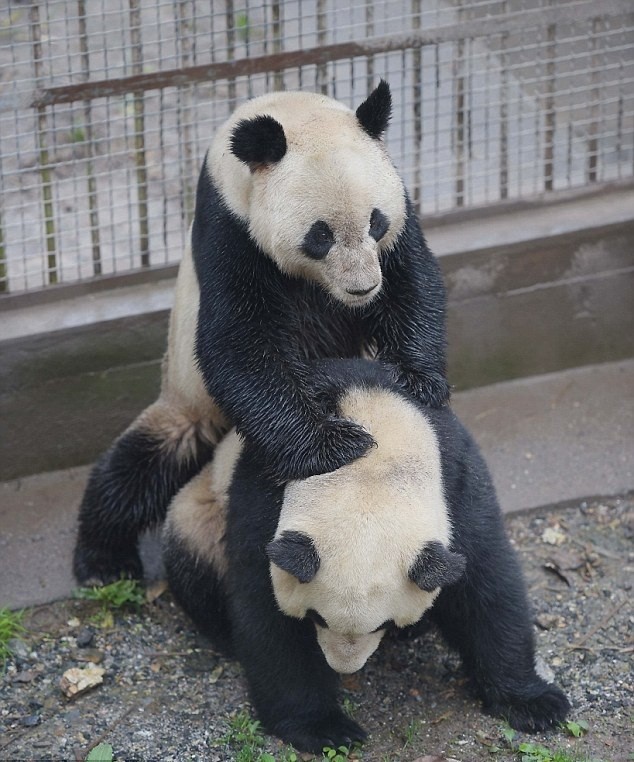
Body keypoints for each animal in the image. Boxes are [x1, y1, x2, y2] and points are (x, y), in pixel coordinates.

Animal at [75, 81, 450, 580]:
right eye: (320, 235)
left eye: (375, 221)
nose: (362, 287)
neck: (288, 109)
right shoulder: (229, 232)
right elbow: (237, 344)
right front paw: (336, 445)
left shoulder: (399, 214)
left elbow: (413, 284)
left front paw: (416, 381)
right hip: (190, 404)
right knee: (137, 468)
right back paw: (103, 561)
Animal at [162, 360, 568, 752]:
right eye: (315, 617)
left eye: (383, 624)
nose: (344, 667)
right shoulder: (264, 492)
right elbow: (266, 613)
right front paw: (324, 728)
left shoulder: (455, 480)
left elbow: (486, 589)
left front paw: (534, 704)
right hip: (205, 508)